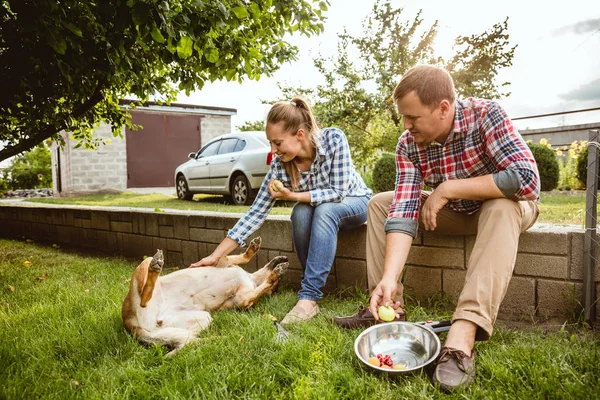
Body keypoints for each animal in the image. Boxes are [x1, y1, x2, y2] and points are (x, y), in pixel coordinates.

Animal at [120, 236, 288, 354]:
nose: (284, 258)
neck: (252, 279)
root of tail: (132, 326)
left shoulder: (243, 298)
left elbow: (257, 289)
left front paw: (274, 276)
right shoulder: (222, 260)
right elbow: (243, 258)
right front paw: (257, 251)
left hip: (199, 319)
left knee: (184, 338)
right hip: (145, 265)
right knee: (145, 294)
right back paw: (156, 265)